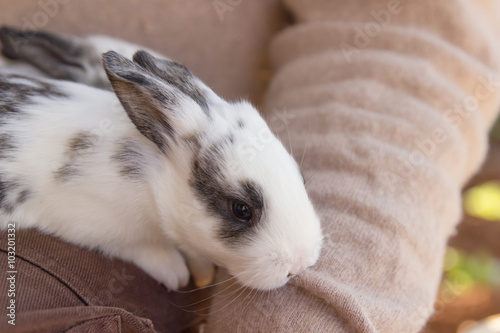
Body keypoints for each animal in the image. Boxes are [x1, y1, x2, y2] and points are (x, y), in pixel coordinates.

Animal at [0, 33, 324, 290]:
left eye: (299, 174)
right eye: (241, 210)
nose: (300, 265)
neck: (151, 182)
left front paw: (201, 271)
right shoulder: (86, 222)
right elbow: (138, 248)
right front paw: (175, 273)